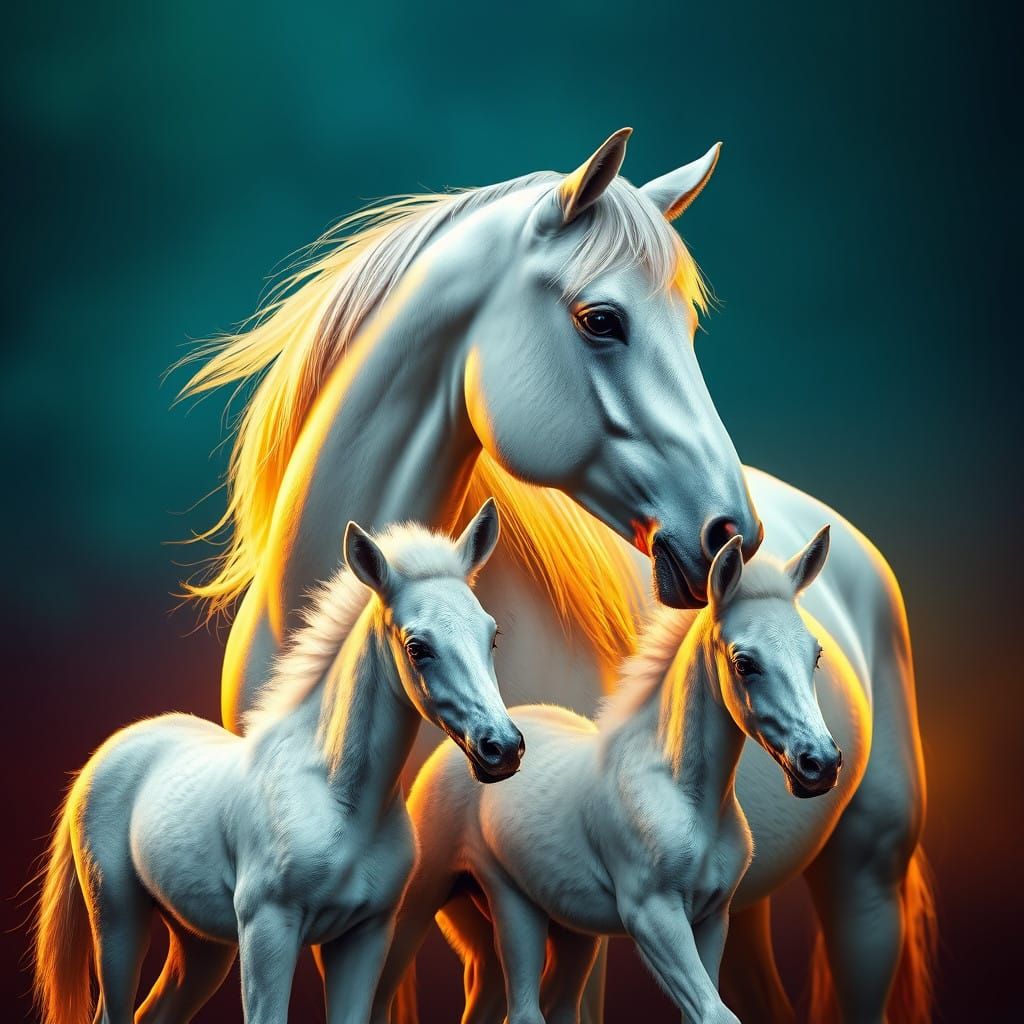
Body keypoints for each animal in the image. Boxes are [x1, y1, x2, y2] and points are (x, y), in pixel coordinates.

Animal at [32, 501, 522, 1024]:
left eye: (492, 636)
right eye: (417, 647)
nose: (502, 748)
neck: (337, 800)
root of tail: (107, 753)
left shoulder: (365, 935)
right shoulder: (267, 931)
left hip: (201, 943)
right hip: (118, 919)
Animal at [373, 528, 842, 1024]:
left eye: (815, 654)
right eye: (744, 662)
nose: (820, 764)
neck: (683, 795)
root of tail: (462, 749)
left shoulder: (712, 918)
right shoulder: (652, 916)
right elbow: (717, 1013)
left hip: (560, 928)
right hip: (464, 904)